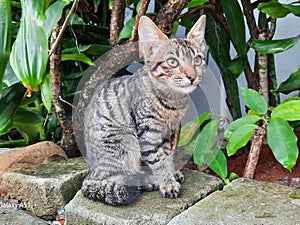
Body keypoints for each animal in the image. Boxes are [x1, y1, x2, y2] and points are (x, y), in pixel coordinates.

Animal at [81, 14, 205, 206]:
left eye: (197, 60)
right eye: (172, 62)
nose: (192, 76)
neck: (173, 101)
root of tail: (90, 172)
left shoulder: (168, 132)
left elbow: (167, 155)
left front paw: (171, 173)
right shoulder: (148, 134)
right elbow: (159, 160)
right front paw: (167, 182)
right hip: (125, 142)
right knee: (115, 179)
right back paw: (147, 181)